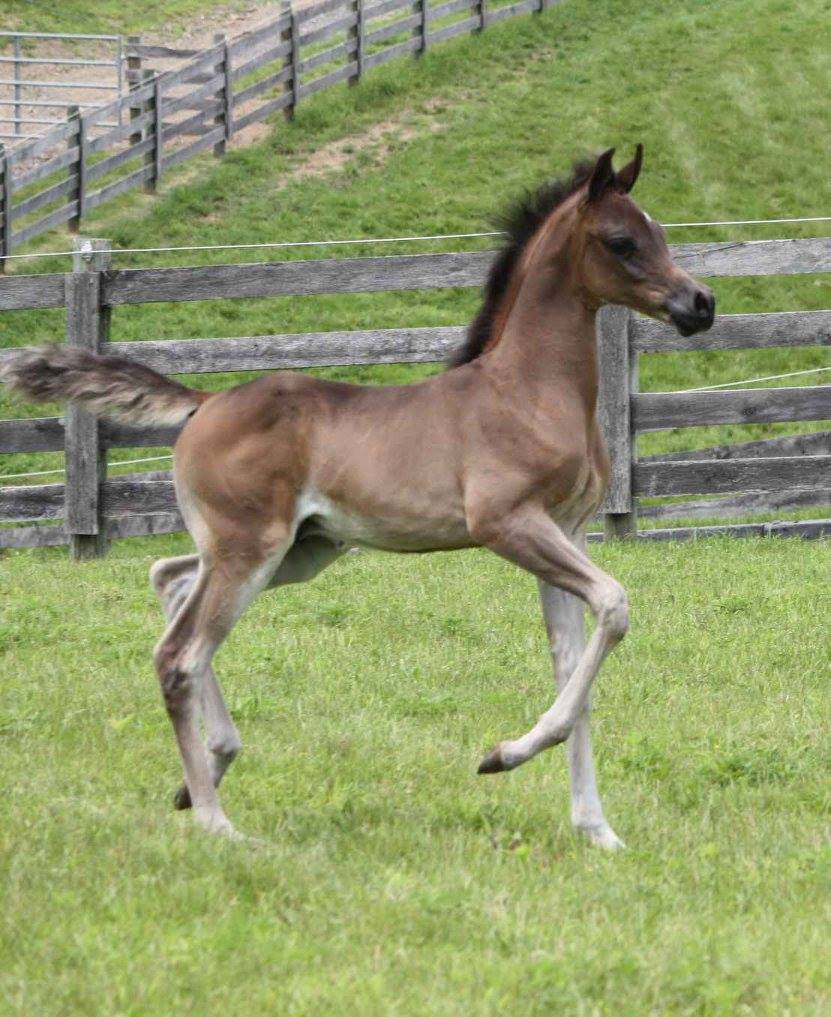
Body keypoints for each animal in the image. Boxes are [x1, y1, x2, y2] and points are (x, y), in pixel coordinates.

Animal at [1, 143, 711, 842]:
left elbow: (573, 669)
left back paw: (206, 768)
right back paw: (215, 820)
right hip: (250, 548)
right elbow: (614, 607)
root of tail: (206, 402)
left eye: (661, 232)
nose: (700, 303)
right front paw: (501, 756)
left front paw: (596, 830)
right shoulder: (508, 525)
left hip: (296, 549)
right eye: (622, 241)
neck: (528, 391)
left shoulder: (566, 531)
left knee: (170, 581)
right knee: (180, 655)